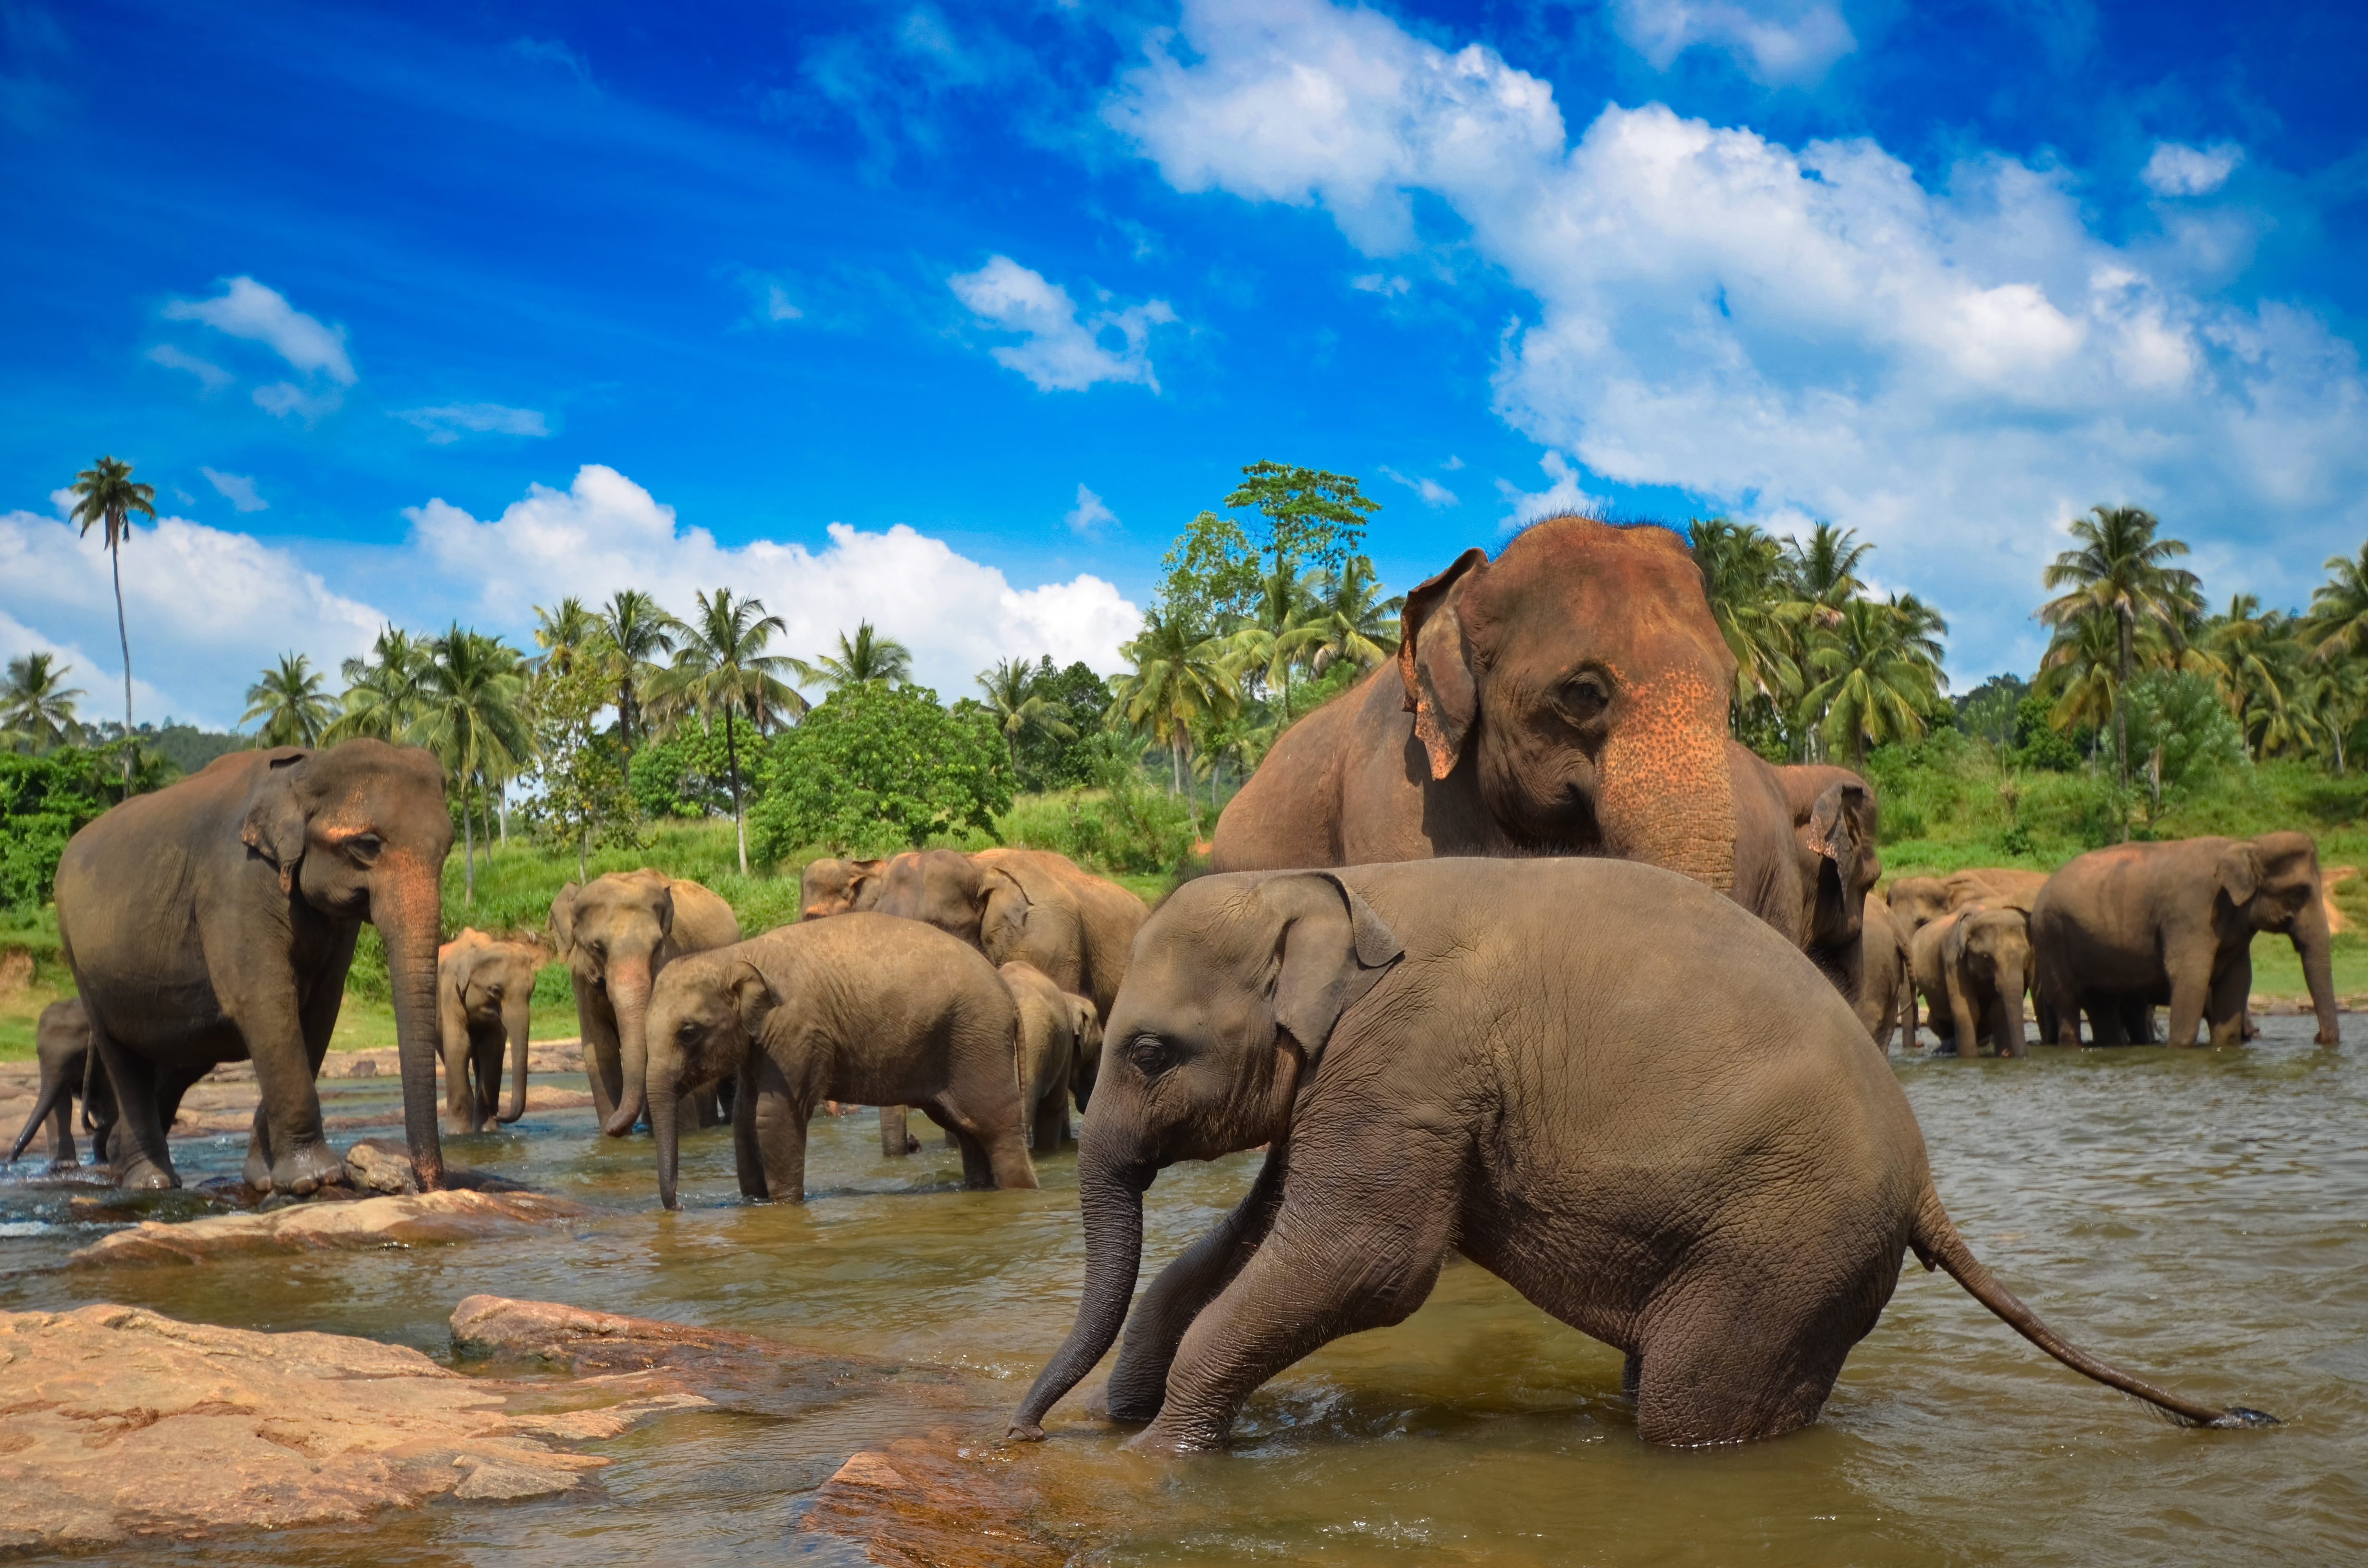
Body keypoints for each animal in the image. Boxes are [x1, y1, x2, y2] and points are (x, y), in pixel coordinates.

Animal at [54, 741, 452, 1193]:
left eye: (449, 847)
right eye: (367, 845)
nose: (430, 1186)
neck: (305, 768)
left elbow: (319, 1011)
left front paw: (266, 1179)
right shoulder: (234, 883)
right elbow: (264, 1002)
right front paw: (316, 1179)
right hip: (79, 960)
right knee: (121, 1059)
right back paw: (150, 1183)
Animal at [436, 928, 540, 1134]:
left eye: (531, 990)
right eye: (495, 990)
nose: (497, 1112)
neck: (480, 950)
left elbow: (492, 1050)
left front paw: (489, 1131)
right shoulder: (450, 991)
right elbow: (459, 1047)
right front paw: (458, 1134)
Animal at [550, 869, 742, 1137]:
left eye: (658, 946)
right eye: (597, 948)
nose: (606, 1129)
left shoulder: (671, 960)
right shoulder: (581, 980)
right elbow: (600, 1051)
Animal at [639, 913, 1038, 1207]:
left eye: (688, 1033)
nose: (679, 1206)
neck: (735, 954)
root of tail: (1009, 995)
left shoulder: (796, 1030)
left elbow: (773, 1116)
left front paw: (783, 1206)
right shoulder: (762, 1042)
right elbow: (743, 1118)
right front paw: (754, 1202)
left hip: (978, 1039)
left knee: (996, 1127)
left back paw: (1020, 1192)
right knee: (965, 1127)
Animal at [2031, 832, 2340, 1049]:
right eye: (2300, 892)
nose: (2318, 1038)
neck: (2246, 844)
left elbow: (2238, 979)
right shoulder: (2192, 913)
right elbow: (2190, 975)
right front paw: (2179, 1048)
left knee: (2103, 1003)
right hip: (2050, 937)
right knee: (2068, 1000)